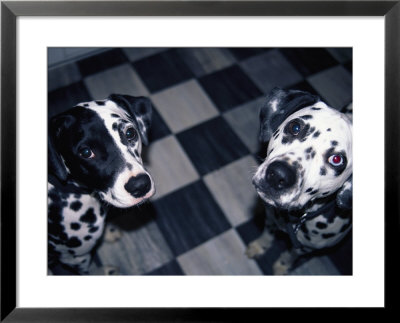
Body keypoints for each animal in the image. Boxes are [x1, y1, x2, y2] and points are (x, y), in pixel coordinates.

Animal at [245, 88, 352, 276]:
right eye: (295, 127)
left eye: (337, 159)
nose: (278, 175)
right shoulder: (270, 220)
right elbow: (267, 235)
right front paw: (259, 246)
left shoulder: (304, 248)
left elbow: (290, 256)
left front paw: (282, 267)